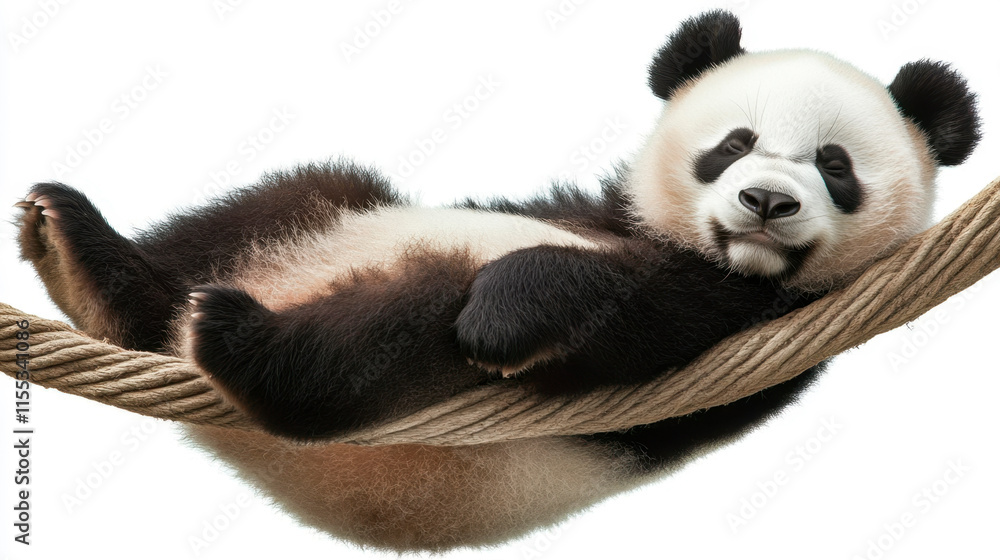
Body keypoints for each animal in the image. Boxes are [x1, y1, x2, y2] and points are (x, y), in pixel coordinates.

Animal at [14, 10, 980, 553]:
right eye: (733, 144)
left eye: (834, 165)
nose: (766, 202)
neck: (687, 244)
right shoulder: (590, 208)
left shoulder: (753, 328)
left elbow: (642, 318)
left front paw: (511, 314)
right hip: (322, 220)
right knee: (290, 198)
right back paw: (91, 266)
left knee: (406, 327)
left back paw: (253, 351)